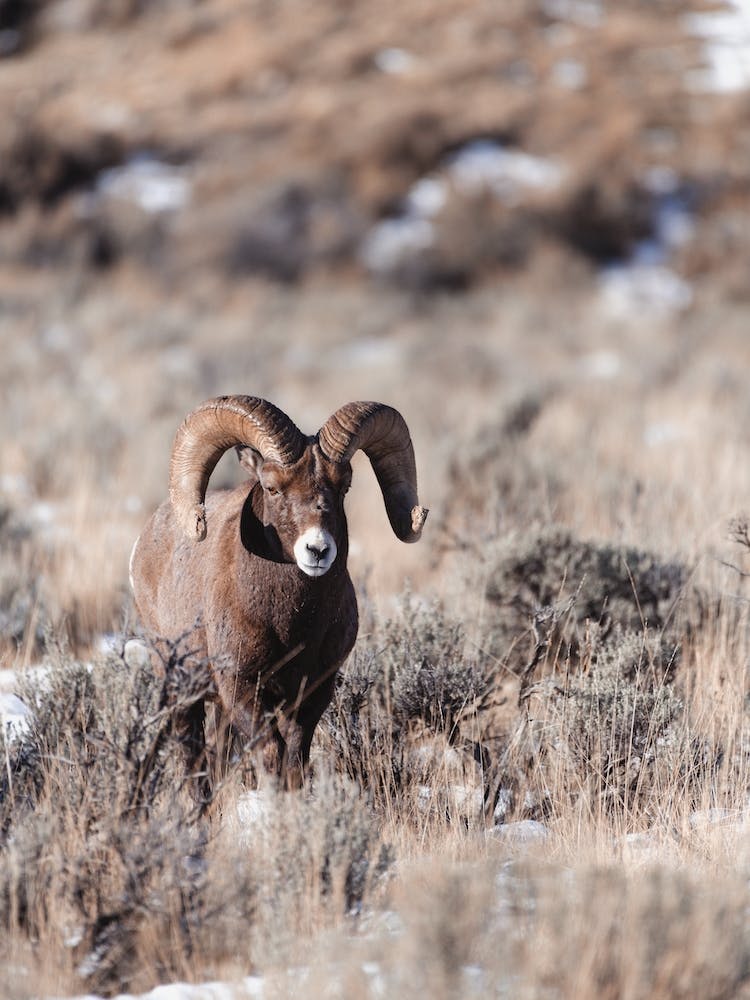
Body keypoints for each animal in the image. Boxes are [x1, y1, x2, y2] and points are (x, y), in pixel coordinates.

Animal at [130, 395, 427, 796]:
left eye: (344, 487)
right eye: (271, 487)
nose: (317, 550)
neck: (292, 624)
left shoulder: (313, 692)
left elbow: (295, 759)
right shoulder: (242, 688)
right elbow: (270, 753)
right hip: (180, 687)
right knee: (192, 759)